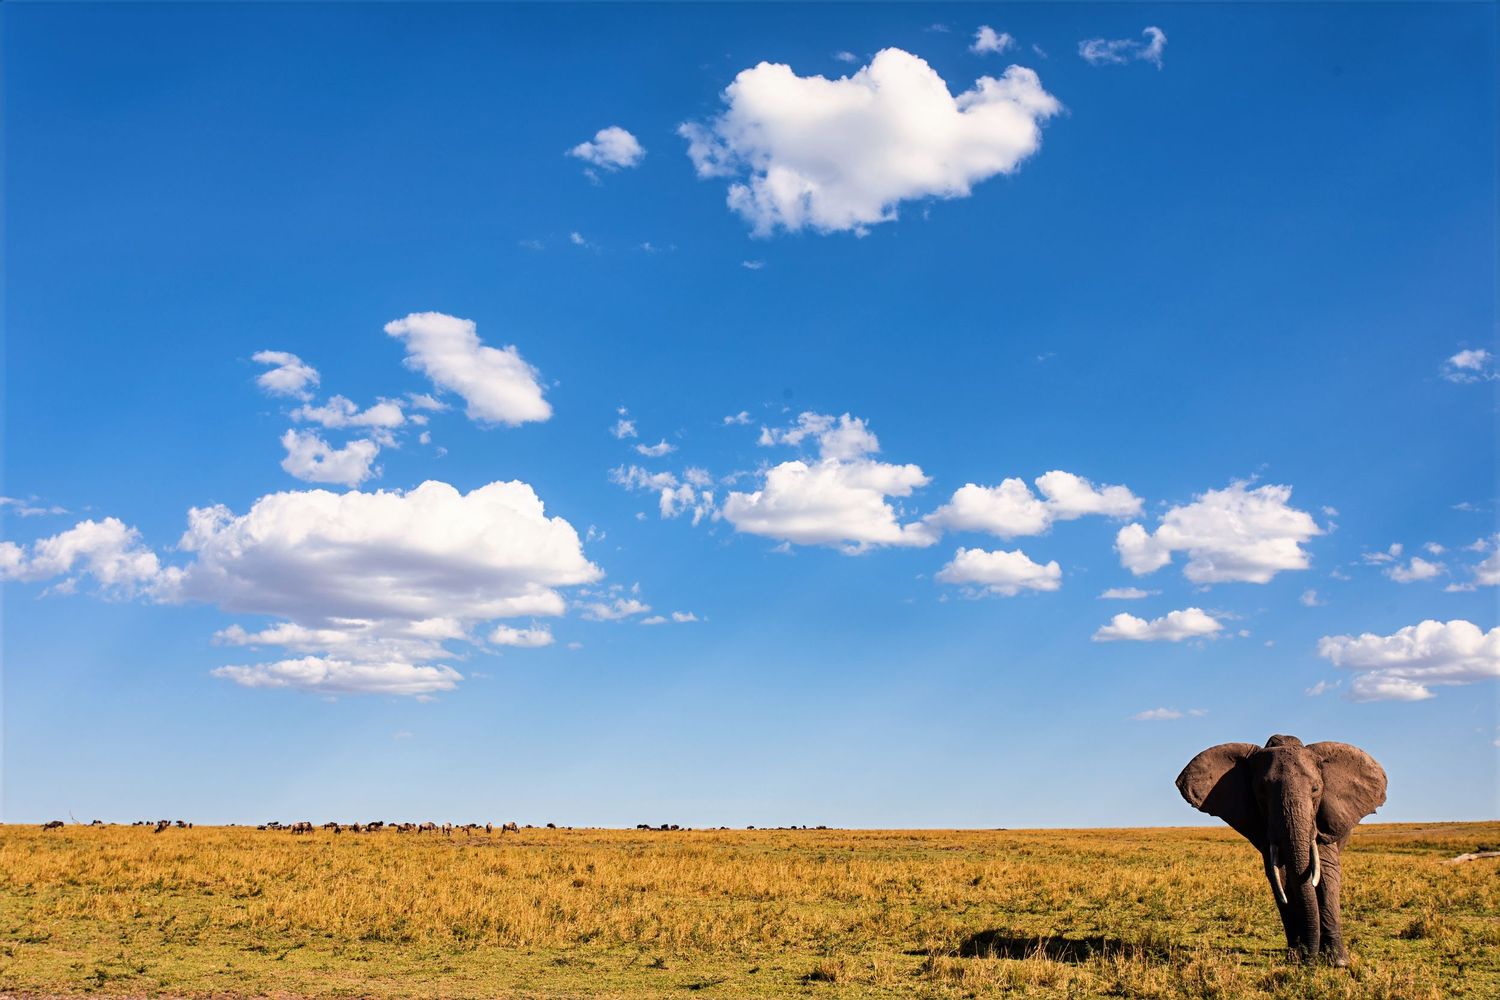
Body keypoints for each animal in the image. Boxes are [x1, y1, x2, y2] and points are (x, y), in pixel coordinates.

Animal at [1177, 734, 1387, 965]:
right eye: (1261, 793)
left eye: (1315, 790)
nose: (1310, 957)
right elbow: (1280, 875)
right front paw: (1297, 957)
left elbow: (1326, 872)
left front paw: (1338, 962)